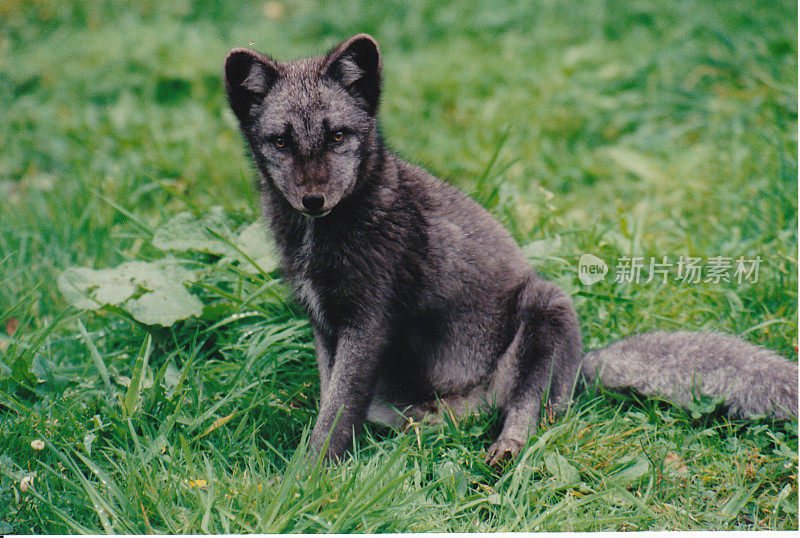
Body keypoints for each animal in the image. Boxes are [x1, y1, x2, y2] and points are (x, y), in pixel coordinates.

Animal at [223, 33, 800, 462]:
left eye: (339, 136)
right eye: (280, 141)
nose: (313, 199)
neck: (318, 240)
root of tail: (581, 363)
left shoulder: (367, 321)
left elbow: (336, 412)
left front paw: (310, 479)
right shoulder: (325, 323)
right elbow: (333, 400)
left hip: (545, 307)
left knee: (527, 413)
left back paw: (504, 449)